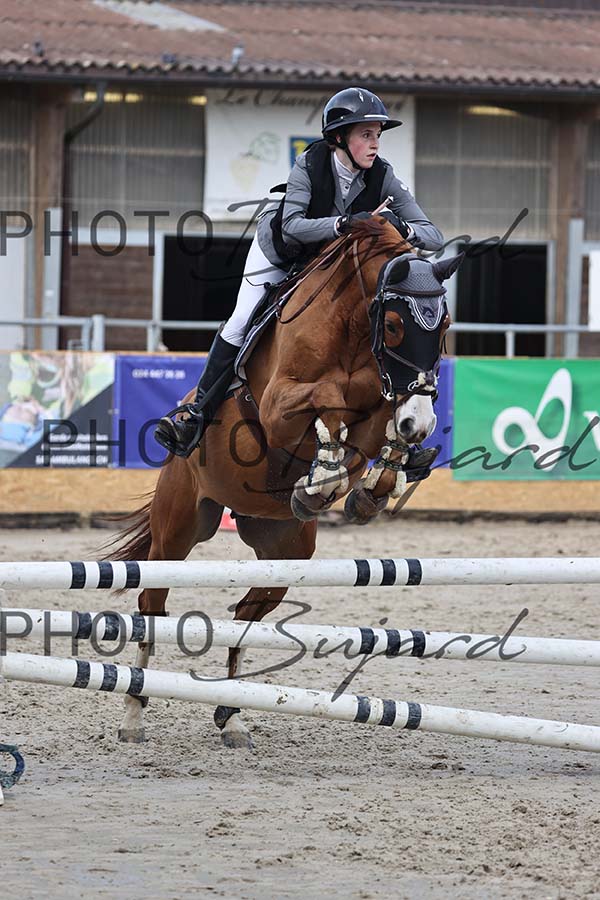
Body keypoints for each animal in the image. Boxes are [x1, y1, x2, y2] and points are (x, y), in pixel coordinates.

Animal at [110, 216, 461, 749]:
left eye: (442, 327)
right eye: (395, 325)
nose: (420, 423)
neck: (354, 331)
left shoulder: (377, 406)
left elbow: (372, 433)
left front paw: (364, 486)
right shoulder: (279, 405)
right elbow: (327, 399)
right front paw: (326, 476)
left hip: (285, 552)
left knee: (244, 617)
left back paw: (232, 717)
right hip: (177, 530)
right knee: (152, 604)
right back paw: (133, 711)